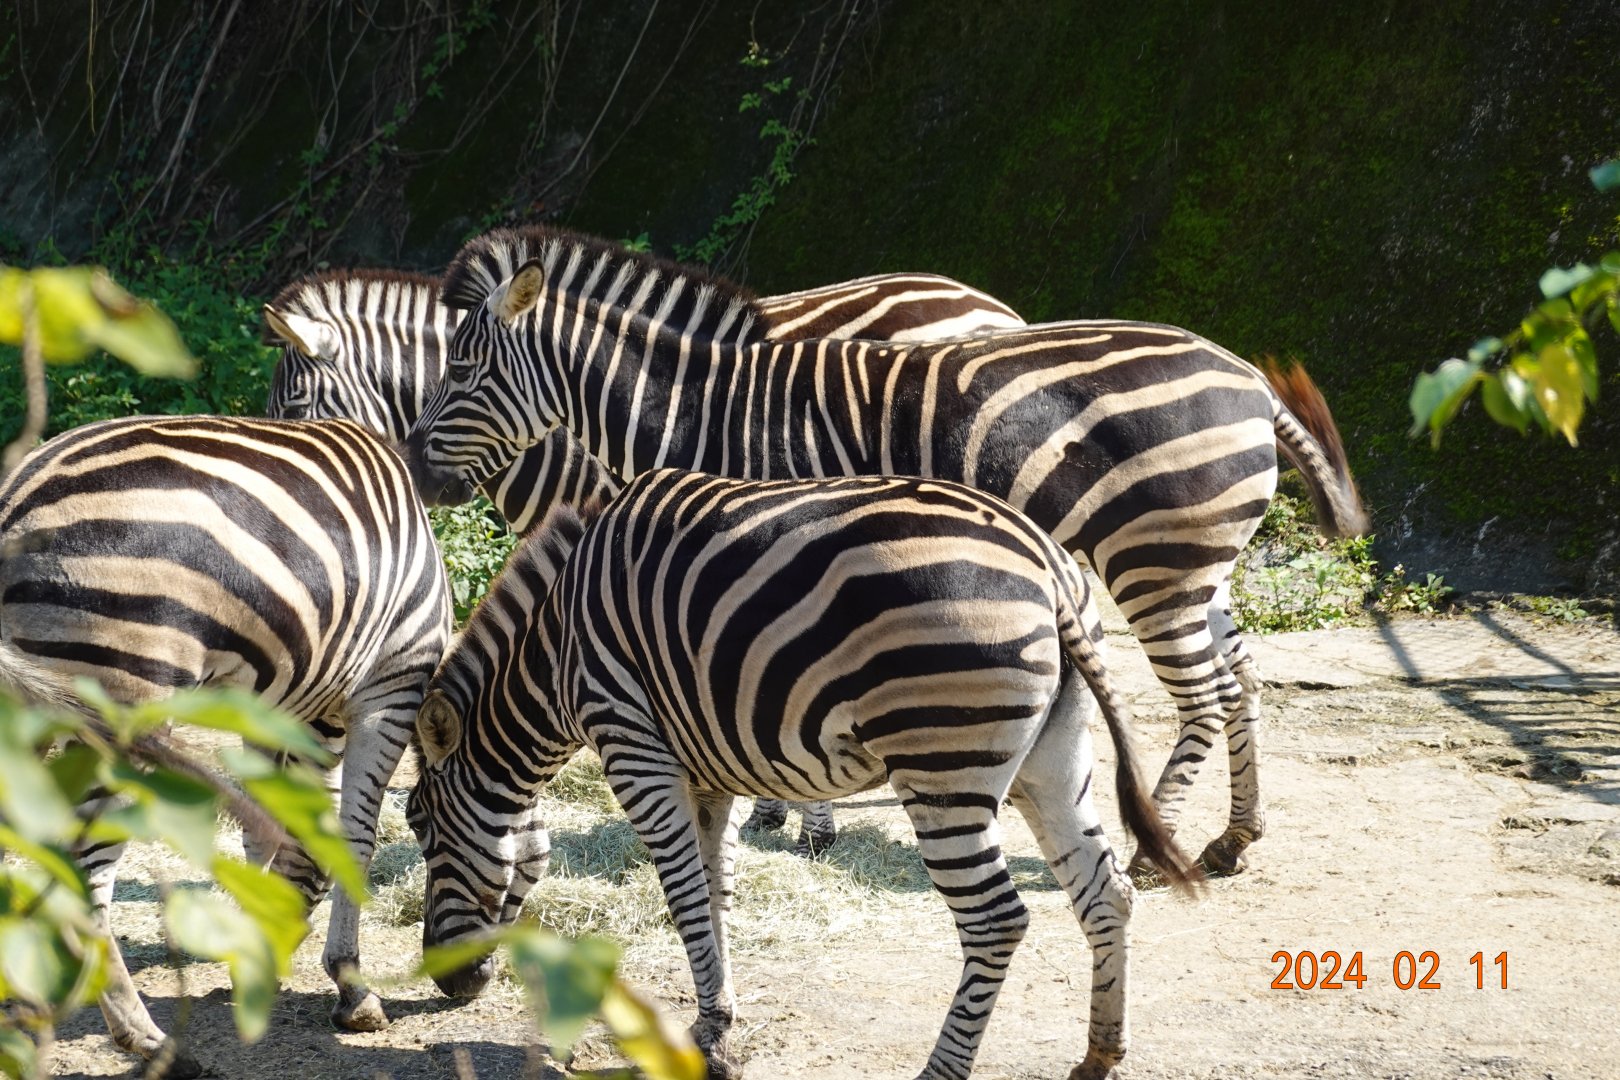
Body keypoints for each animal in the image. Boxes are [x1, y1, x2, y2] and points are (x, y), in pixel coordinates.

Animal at [0, 415, 451, 1076]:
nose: (465, 986)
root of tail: (15, 499)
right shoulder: (391, 685)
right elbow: (351, 839)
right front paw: (352, 986)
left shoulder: (284, 707)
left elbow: (274, 832)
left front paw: (252, 940)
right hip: (124, 702)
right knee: (85, 865)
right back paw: (143, 1035)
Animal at [400, 224, 1369, 878]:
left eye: (462, 374)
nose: (412, 465)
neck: (709, 411)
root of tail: (1250, 379)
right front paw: (787, 813)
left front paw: (800, 819)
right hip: (1203, 567)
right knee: (1241, 679)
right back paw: (1233, 838)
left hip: (1155, 562)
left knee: (1206, 697)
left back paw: (1152, 847)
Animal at [408, 468, 1200, 1080]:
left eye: (421, 830)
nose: (447, 981)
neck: (558, 648)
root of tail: (1046, 563)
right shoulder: (706, 767)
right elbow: (714, 892)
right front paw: (715, 1021)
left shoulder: (632, 743)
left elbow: (683, 897)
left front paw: (714, 1040)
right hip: (1053, 758)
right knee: (1106, 893)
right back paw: (1100, 1054)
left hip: (942, 765)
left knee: (996, 920)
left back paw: (941, 1069)